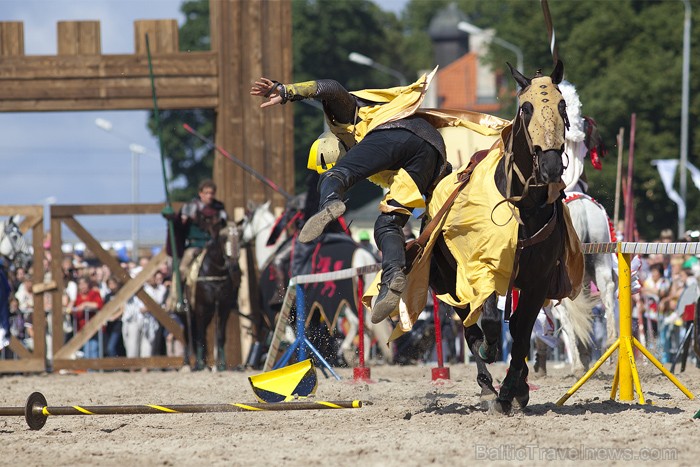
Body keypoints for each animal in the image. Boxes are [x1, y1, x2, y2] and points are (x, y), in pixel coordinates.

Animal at [182, 218, 242, 372]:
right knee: (189, 334)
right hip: (188, 313)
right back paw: (189, 364)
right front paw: (199, 364)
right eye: (224, 237)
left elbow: (220, 336)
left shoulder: (224, 308)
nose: (234, 265)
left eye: (239, 236)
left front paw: (222, 365)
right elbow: (199, 336)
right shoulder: (200, 308)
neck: (215, 273)